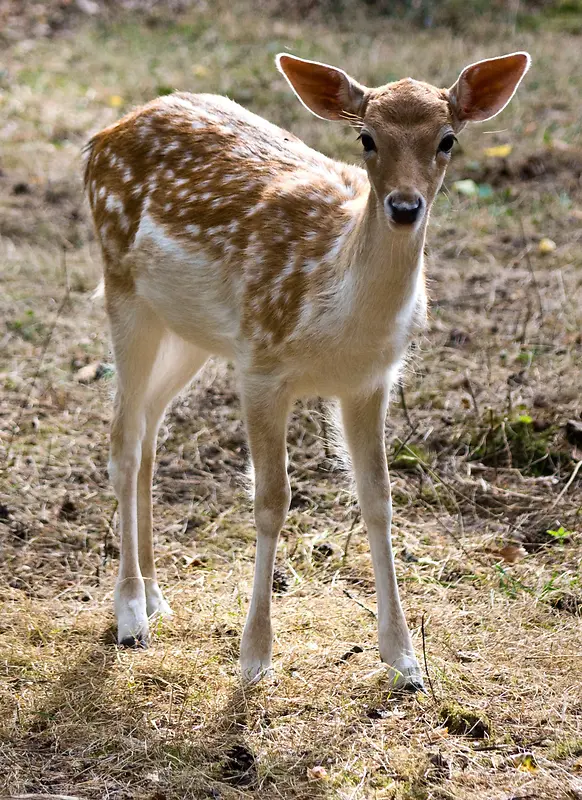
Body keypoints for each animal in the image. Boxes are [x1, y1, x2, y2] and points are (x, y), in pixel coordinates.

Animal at [84, 50, 532, 692]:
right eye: (366, 137)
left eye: (448, 139)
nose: (404, 207)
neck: (337, 313)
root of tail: (103, 137)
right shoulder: (261, 364)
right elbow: (272, 499)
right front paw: (253, 660)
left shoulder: (371, 380)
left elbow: (379, 498)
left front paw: (405, 661)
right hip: (122, 286)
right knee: (122, 438)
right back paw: (129, 615)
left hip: (190, 333)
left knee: (147, 433)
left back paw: (156, 597)